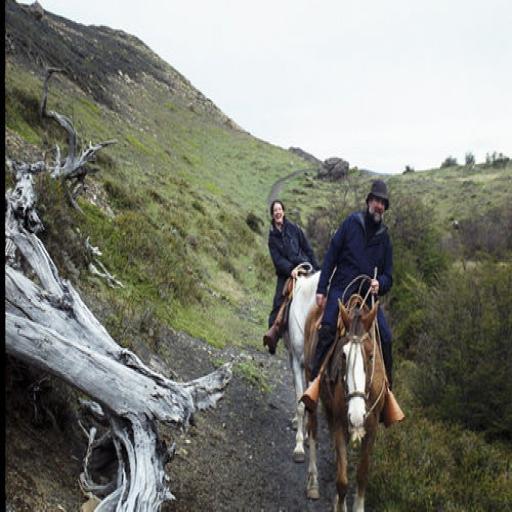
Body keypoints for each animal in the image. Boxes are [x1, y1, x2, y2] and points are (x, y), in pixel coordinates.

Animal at [303, 293, 387, 512]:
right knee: (313, 430)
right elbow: (342, 480)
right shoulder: (341, 422)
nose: (357, 414)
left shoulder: (371, 427)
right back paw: (313, 483)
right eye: (343, 354)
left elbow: (362, 474)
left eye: (371, 355)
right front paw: (340, 505)